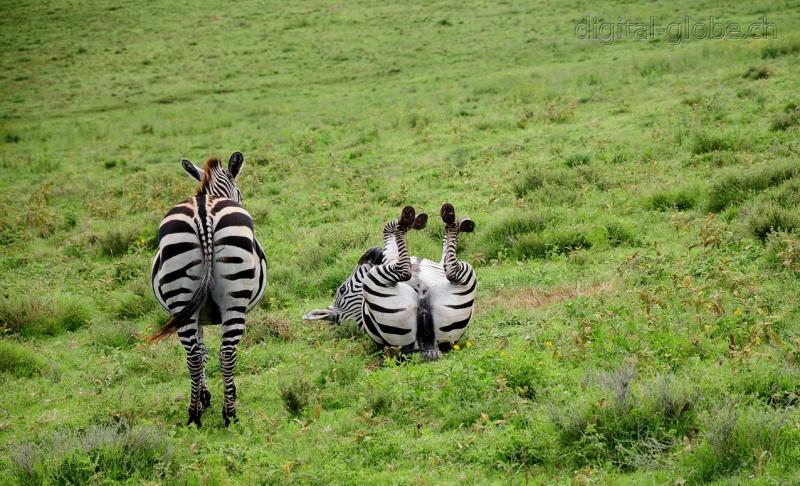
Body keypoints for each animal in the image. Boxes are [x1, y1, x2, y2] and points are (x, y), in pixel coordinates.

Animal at [152, 151, 270, 426]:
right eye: (240, 193)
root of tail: (203, 212)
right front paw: (219, 395)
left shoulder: (196, 315)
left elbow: (202, 351)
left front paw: (203, 398)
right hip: (234, 300)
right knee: (227, 353)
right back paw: (230, 414)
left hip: (180, 300)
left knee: (193, 357)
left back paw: (193, 415)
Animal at [302, 203, 476, 358]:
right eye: (343, 290)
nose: (370, 252)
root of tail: (427, 348)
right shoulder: (390, 259)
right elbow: (389, 231)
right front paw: (414, 221)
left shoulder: (436, 264)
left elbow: (444, 249)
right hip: (377, 279)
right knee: (433, 269)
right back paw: (426, 217)